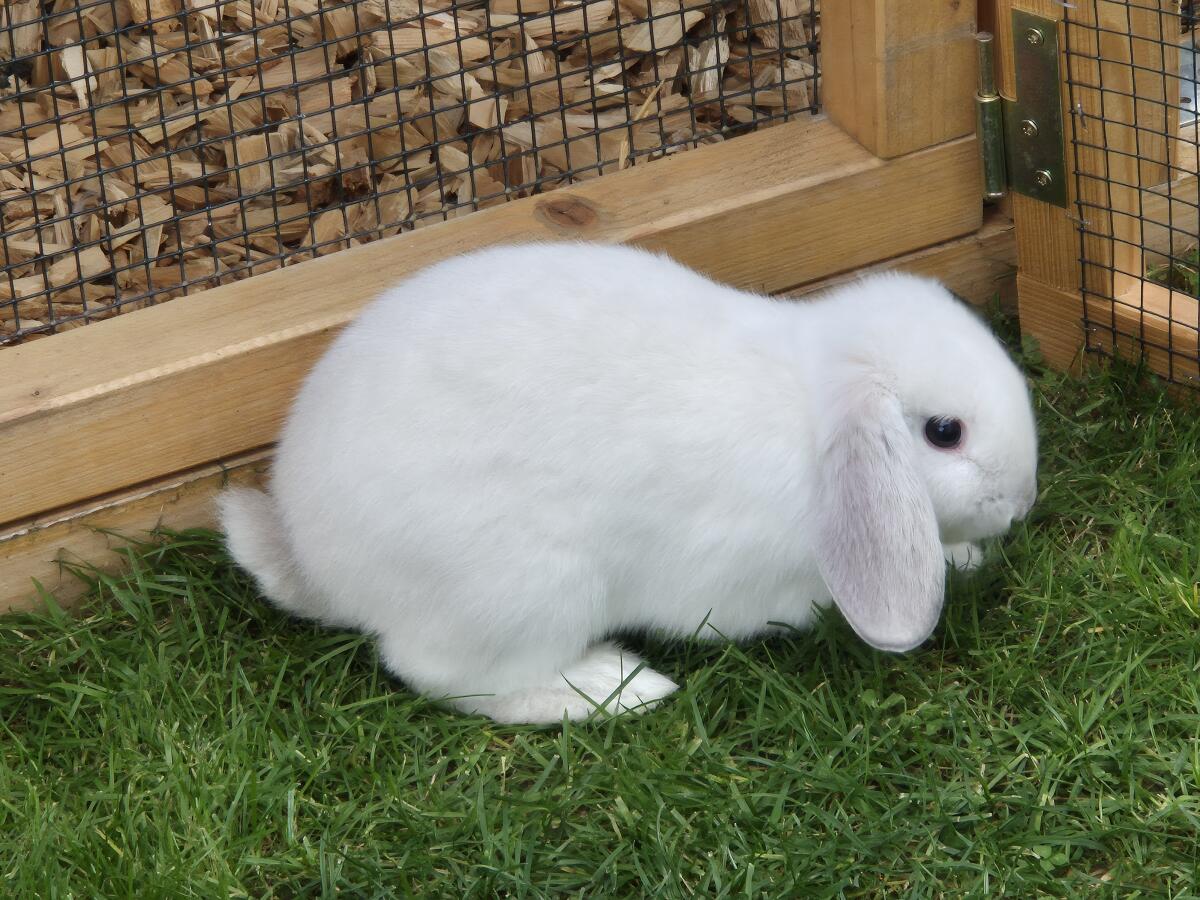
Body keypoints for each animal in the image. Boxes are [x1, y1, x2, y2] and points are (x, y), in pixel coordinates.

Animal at [218, 241, 1038, 725]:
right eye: (944, 432)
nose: (1021, 503)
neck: (813, 415)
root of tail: (316, 562)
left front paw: (962, 557)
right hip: (529, 588)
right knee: (449, 676)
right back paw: (618, 687)